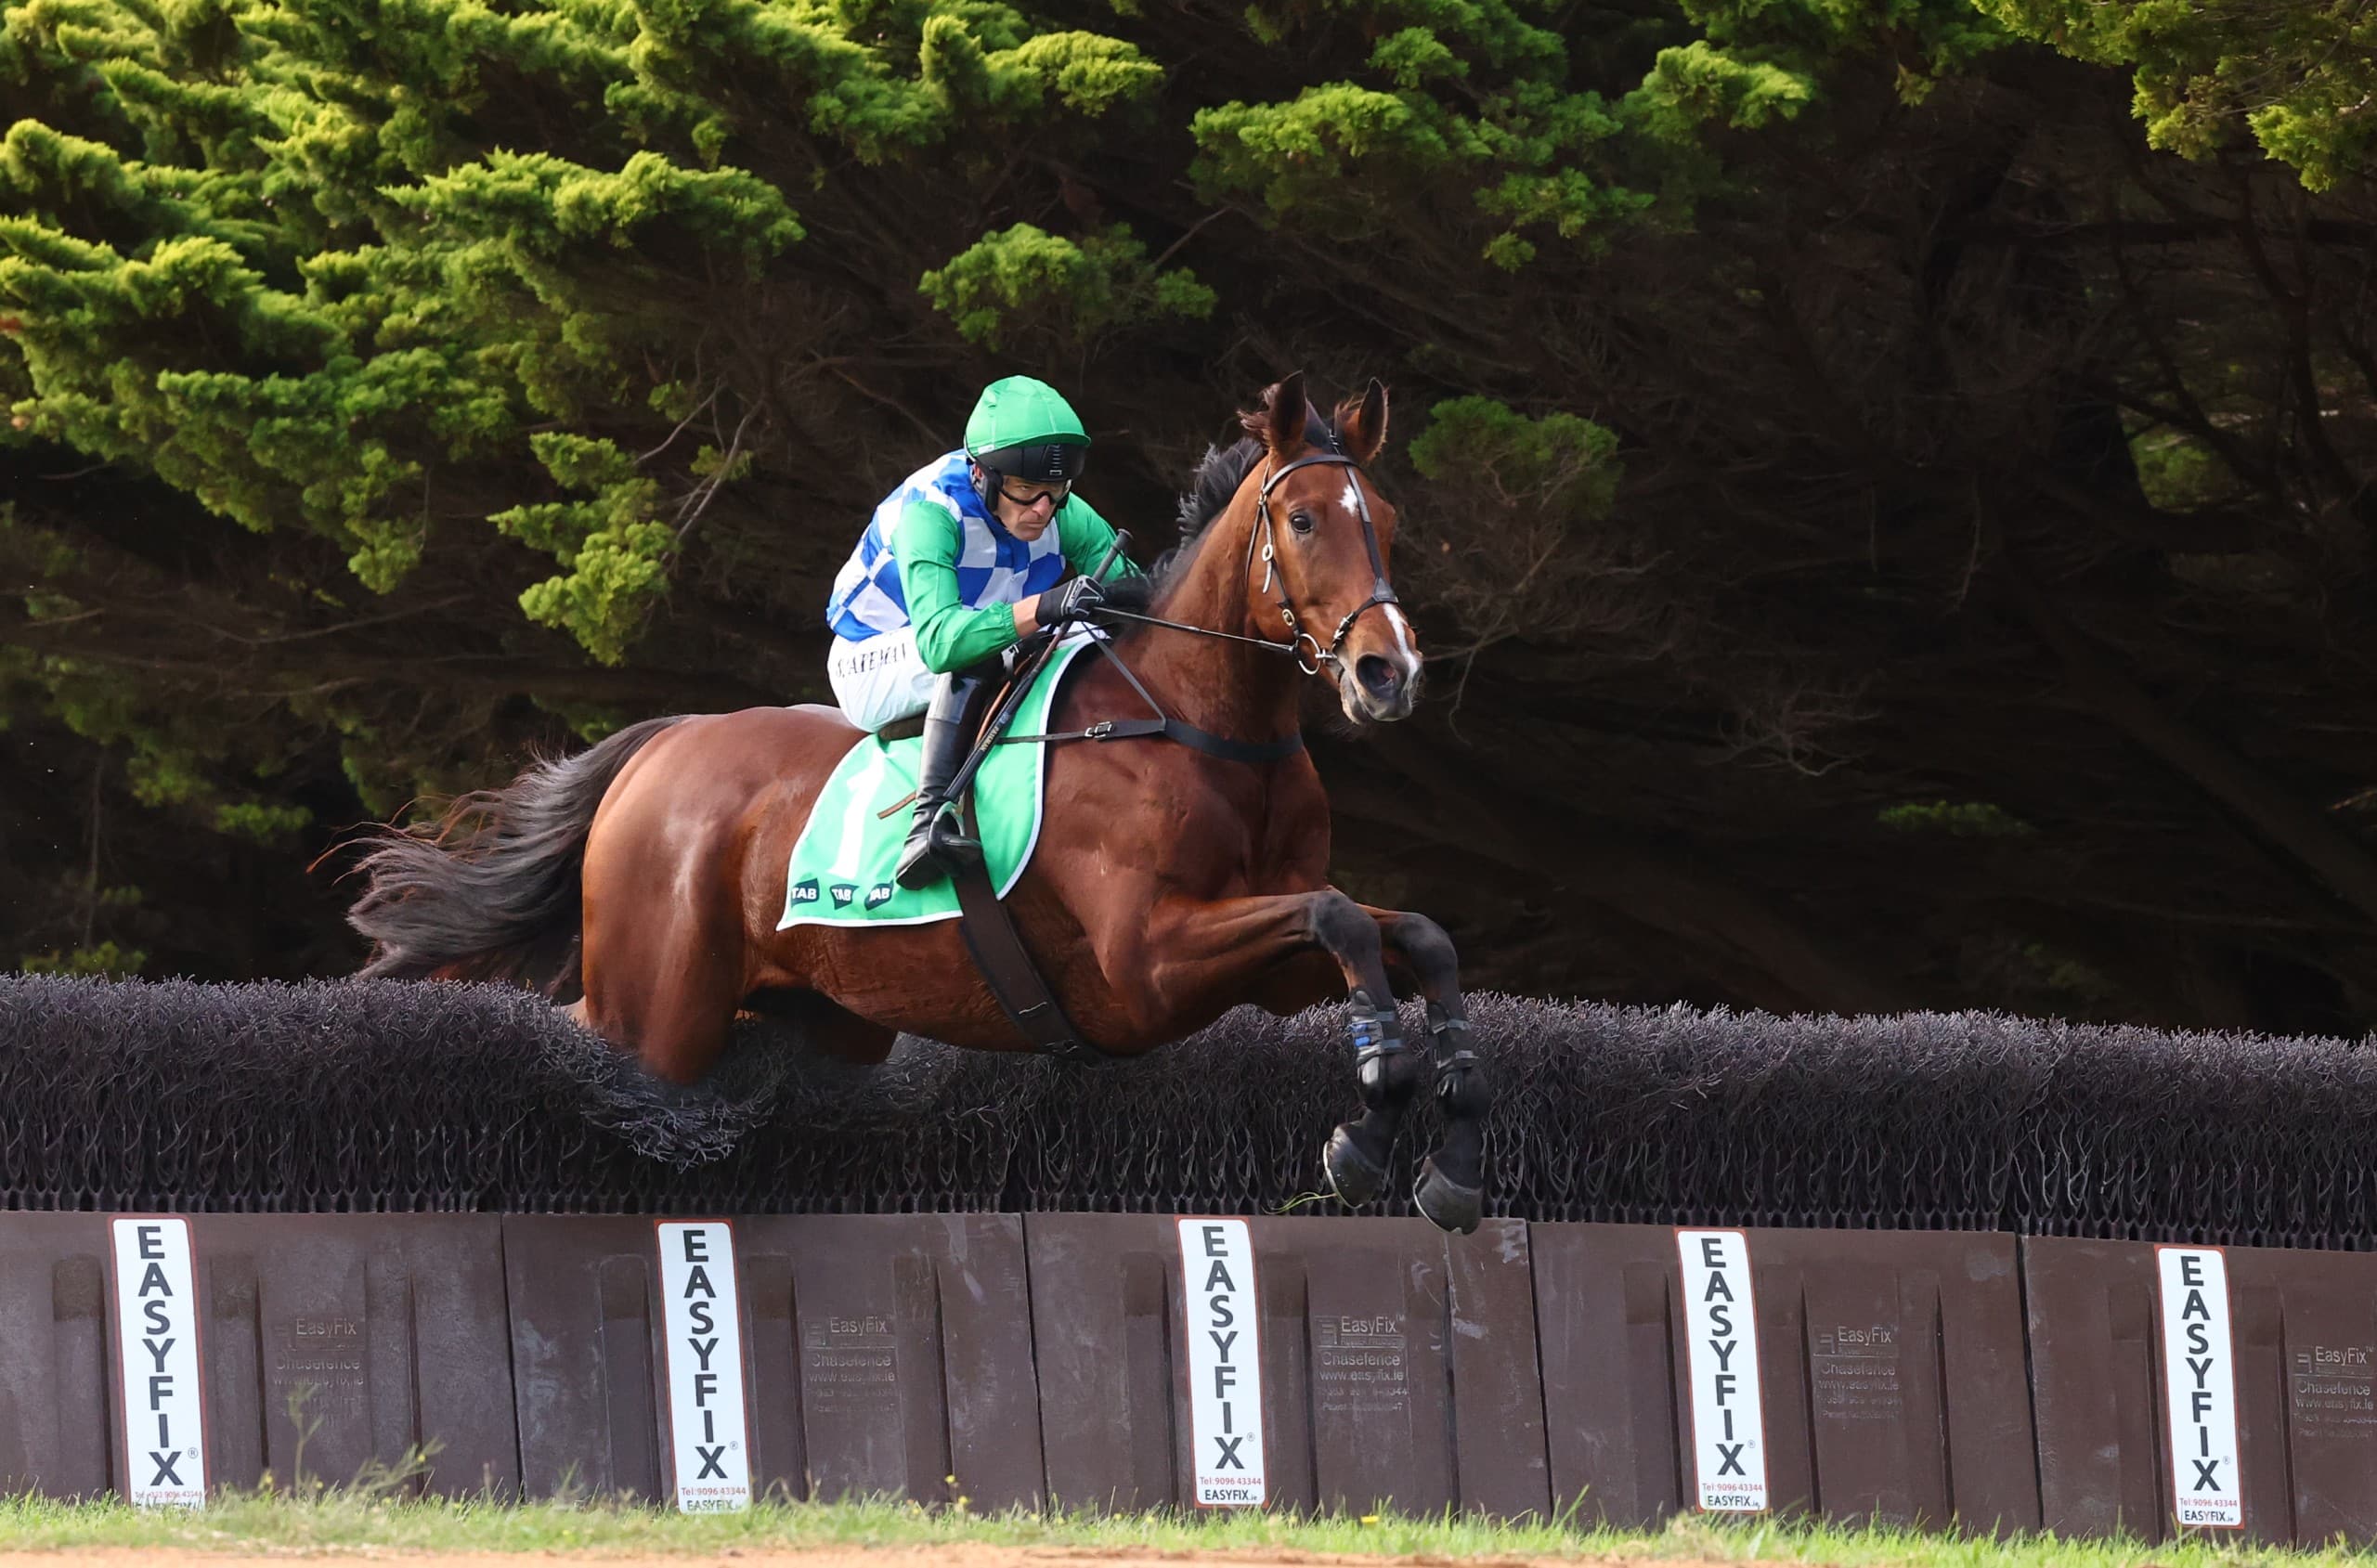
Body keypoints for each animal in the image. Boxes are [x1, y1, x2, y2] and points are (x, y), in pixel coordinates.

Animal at [348, 373, 1489, 1231]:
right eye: (1301, 518)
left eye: (1387, 523)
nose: (1390, 672)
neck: (1204, 729)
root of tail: (660, 747)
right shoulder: (1150, 962)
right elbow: (1340, 917)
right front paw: (1369, 1125)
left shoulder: (1265, 964)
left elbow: (1408, 935)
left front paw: (1448, 1143)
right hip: (656, 1007)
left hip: (828, 1011)